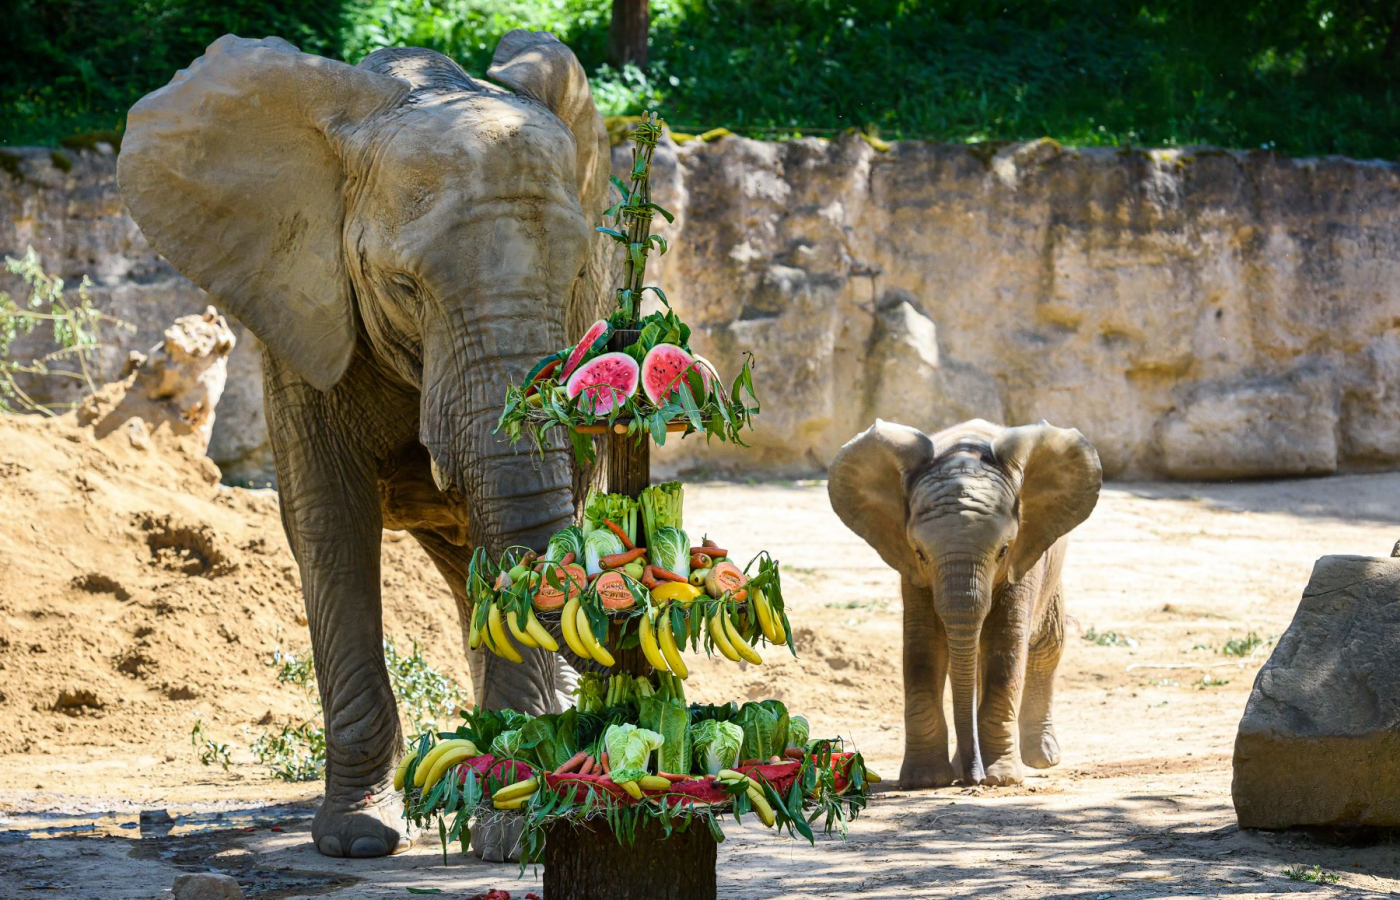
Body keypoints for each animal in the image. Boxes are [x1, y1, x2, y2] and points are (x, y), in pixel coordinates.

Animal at [123, 29, 616, 856]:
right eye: (403, 286)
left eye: (579, 272)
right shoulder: (297, 303)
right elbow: (330, 524)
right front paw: (354, 837)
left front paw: (516, 831)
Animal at [823, 419, 1097, 789]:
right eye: (920, 552)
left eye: (1003, 550)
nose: (973, 778)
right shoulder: (911, 569)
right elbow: (922, 650)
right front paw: (926, 779)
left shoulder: (1025, 557)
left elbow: (1005, 649)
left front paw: (1002, 779)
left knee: (1047, 647)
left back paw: (1041, 758)